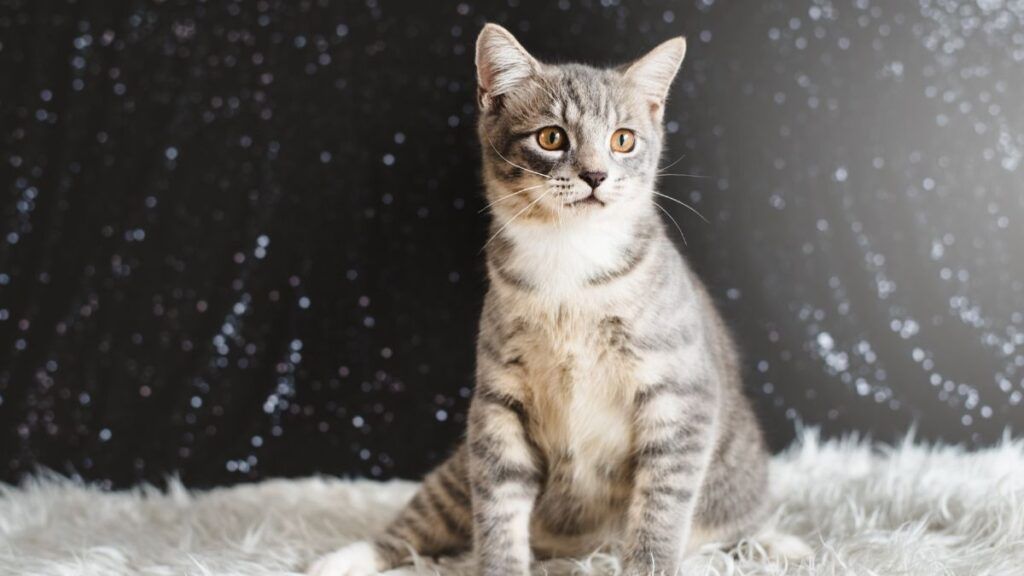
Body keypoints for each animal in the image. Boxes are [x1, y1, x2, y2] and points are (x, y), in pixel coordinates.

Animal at [309, 22, 774, 573]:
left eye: (623, 140)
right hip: (458, 468)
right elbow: (498, 507)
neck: (569, 264)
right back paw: (345, 559)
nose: (595, 175)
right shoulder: (498, 401)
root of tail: (578, 548)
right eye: (552, 137)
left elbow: (660, 507)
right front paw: (500, 564)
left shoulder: (681, 395)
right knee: (423, 519)